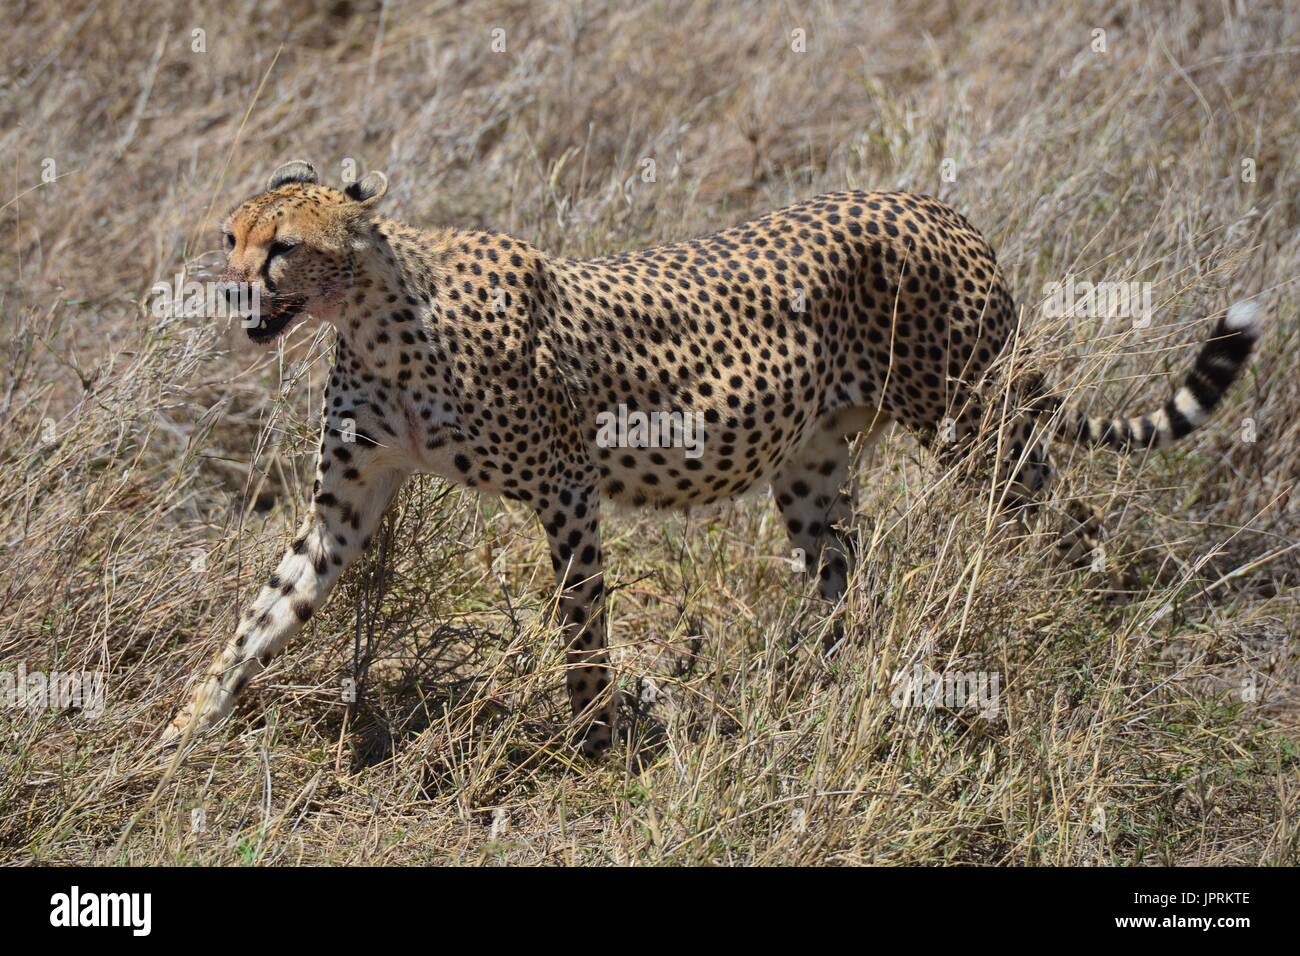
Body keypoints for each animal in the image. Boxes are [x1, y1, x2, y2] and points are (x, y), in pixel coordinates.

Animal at [167, 160, 1263, 759]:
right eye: (230, 235)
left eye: (282, 248)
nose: (228, 288)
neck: (375, 316)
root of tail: (938, 207)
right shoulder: (344, 508)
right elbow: (261, 616)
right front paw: (184, 728)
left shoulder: (567, 488)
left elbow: (582, 632)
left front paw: (594, 745)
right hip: (815, 465)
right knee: (841, 583)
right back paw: (812, 693)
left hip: (968, 420)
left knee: (1065, 515)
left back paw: (1103, 625)